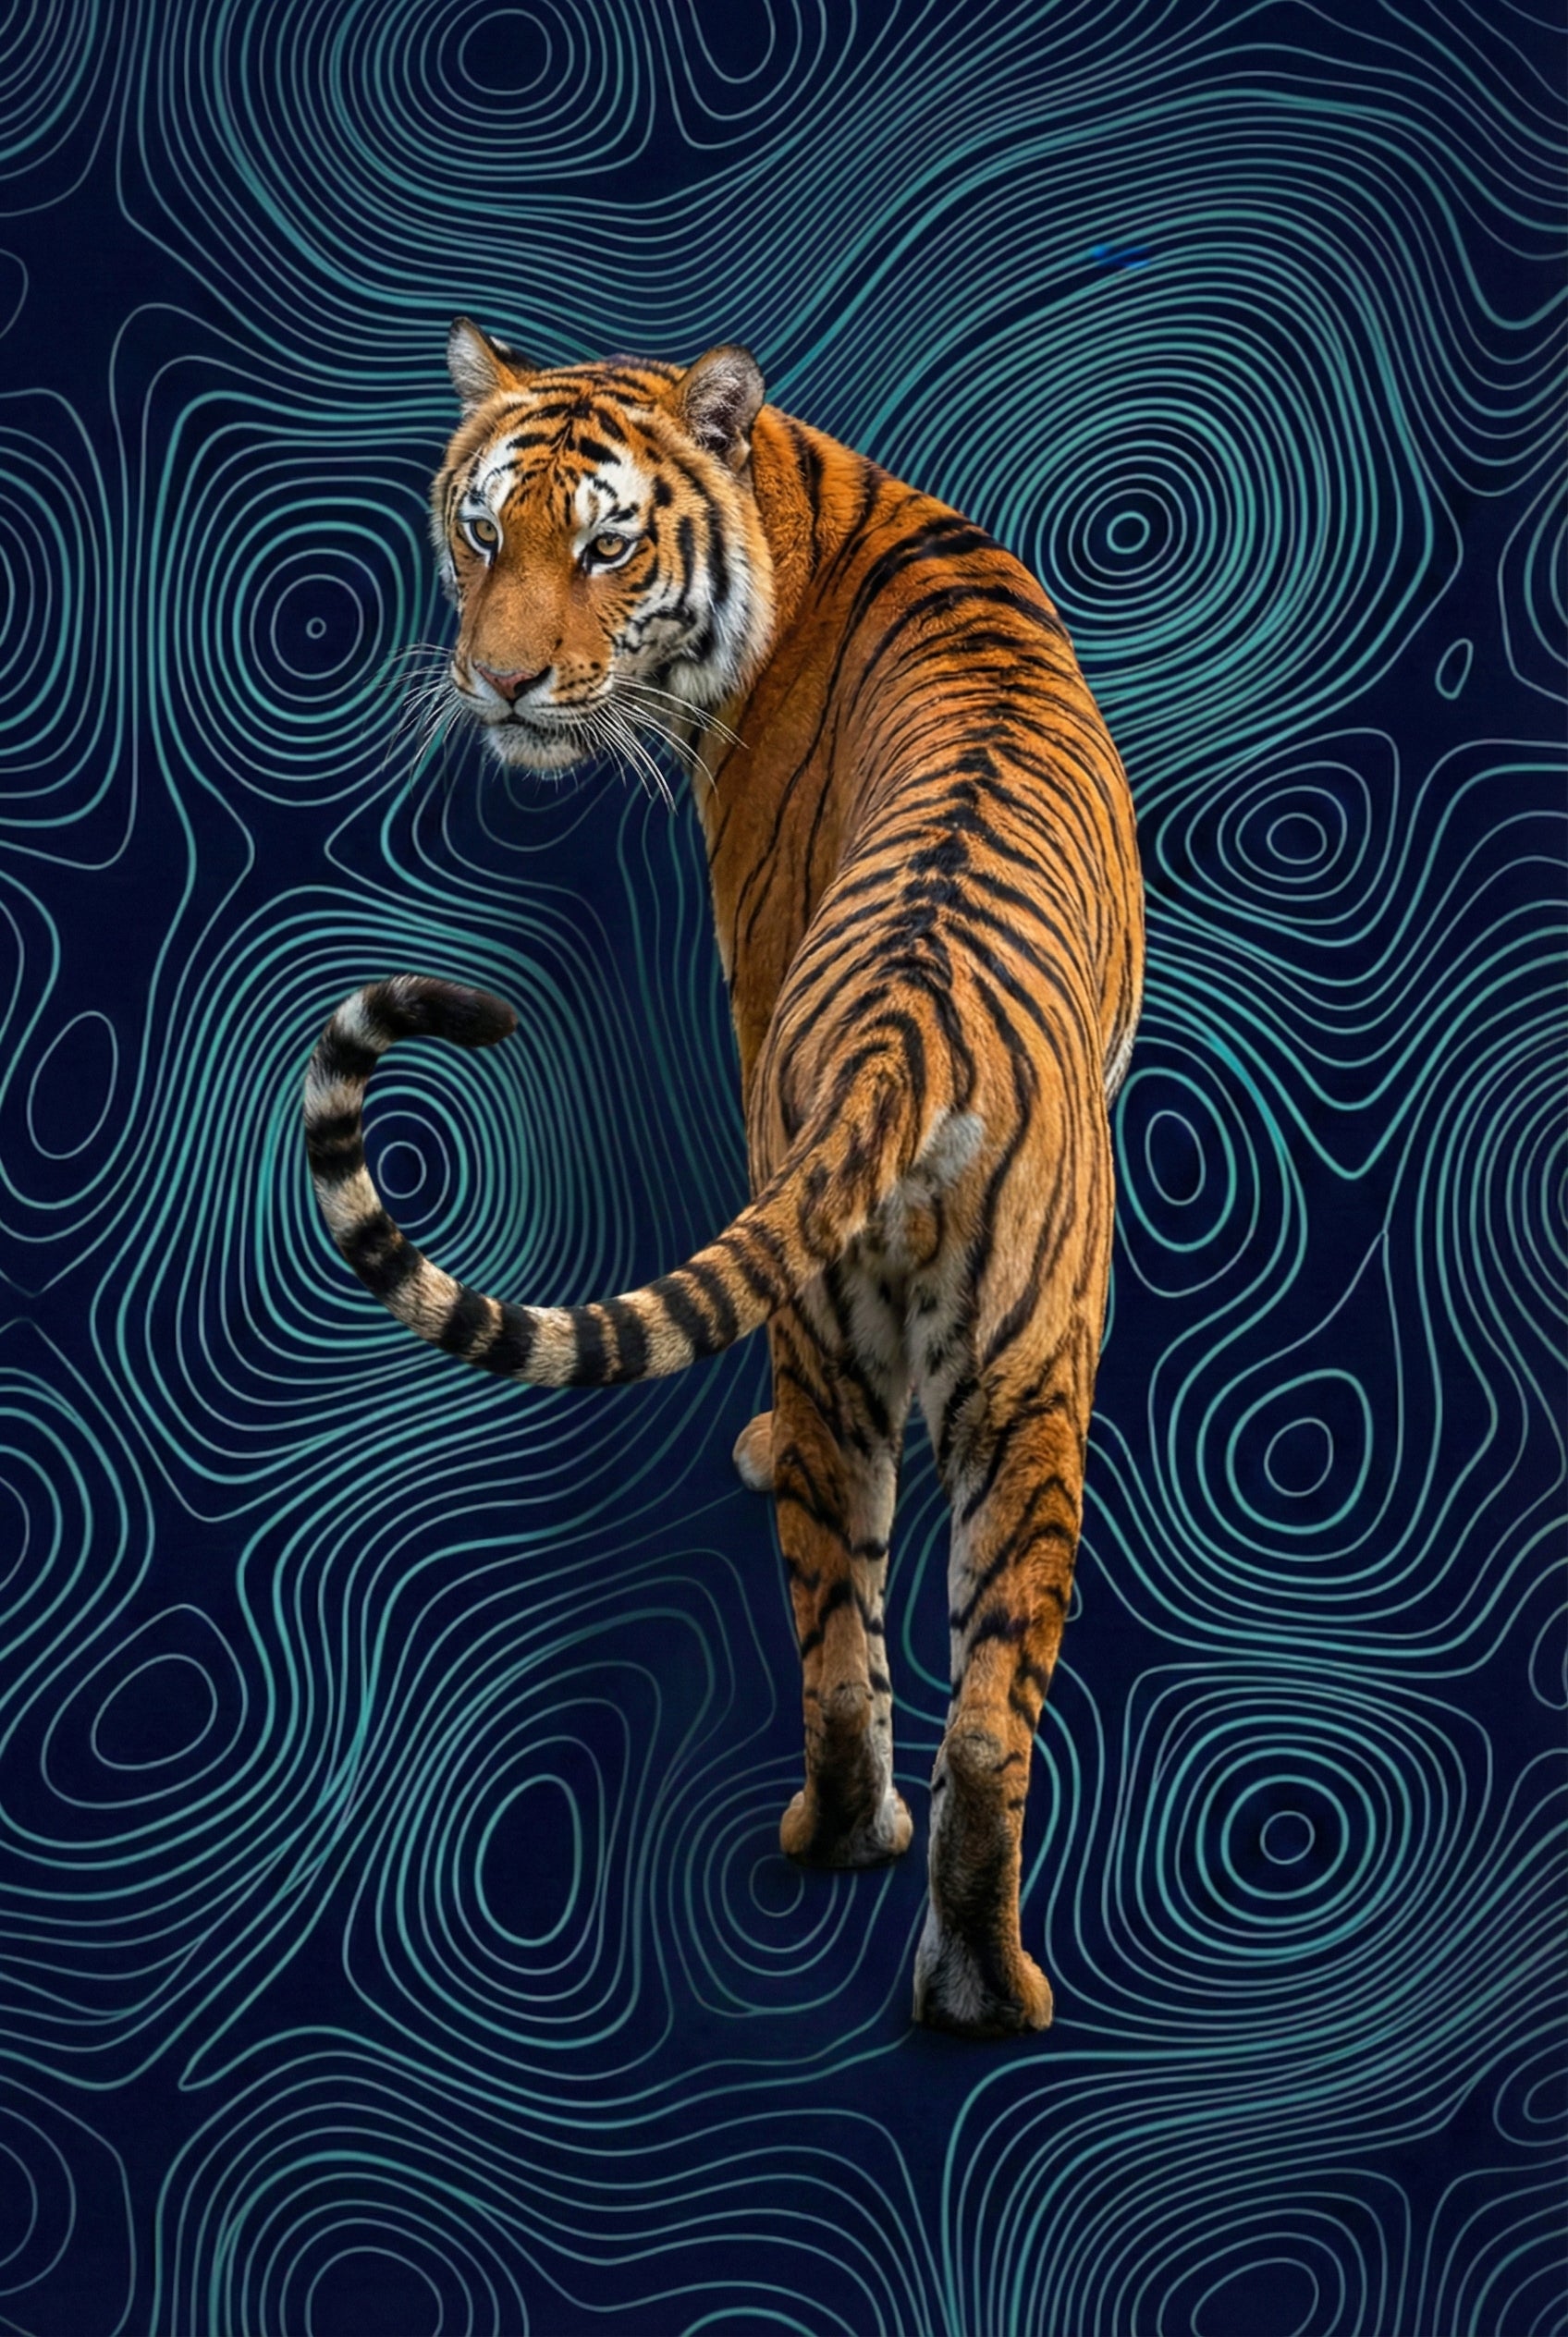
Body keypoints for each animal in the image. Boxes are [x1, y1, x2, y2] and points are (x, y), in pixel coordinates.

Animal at [303, 322, 1144, 2038]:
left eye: (604, 546)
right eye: (483, 531)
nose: (501, 682)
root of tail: (915, 1030)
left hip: (864, 1349)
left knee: (837, 1638)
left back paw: (845, 1844)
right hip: (1022, 1371)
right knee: (977, 1712)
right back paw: (980, 1974)